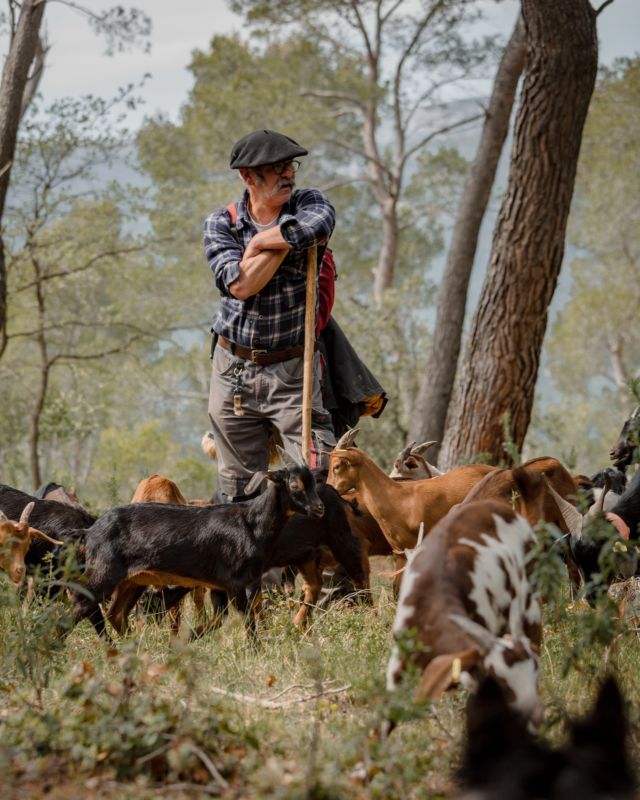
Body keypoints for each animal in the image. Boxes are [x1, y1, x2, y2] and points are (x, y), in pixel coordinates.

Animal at [70, 456, 324, 636]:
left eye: (313, 483)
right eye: (294, 485)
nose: (319, 508)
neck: (250, 522)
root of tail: (90, 532)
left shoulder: (227, 585)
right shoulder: (235, 582)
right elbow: (248, 622)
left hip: (132, 582)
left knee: (116, 614)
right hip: (103, 574)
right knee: (77, 608)